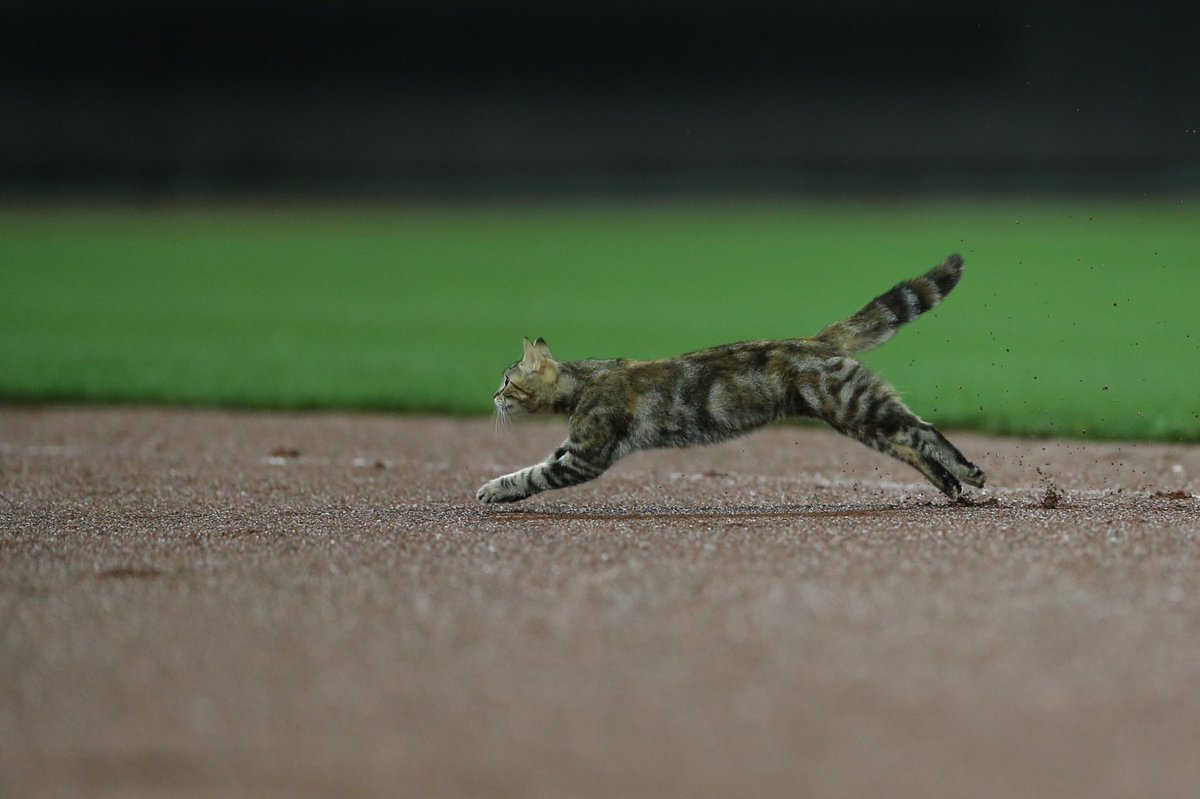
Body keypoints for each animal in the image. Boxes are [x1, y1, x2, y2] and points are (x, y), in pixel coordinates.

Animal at [477, 253, 984, 503]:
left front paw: (495, 490)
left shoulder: (585, 455)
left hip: (857, 406)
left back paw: (967, 471)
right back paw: (950, 485)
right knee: (910, 444)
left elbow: (533, 475)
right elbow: (534, 462)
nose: (492, 397)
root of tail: (814, 340)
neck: (582, 382)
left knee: (923, 430)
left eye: (506, 381)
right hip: (860, 420)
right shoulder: (570, 445)